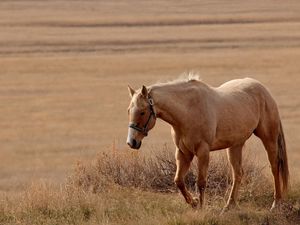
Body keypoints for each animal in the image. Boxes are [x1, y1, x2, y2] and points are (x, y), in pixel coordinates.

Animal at [126, 77, 288, 211]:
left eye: (142, 112)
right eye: (129, 111)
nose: (131, 142)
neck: (188, 111)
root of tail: (264, 90)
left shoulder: (203, 151)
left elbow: (201, 182)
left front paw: (201, 207)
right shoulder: (183, 153)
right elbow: (179, 181)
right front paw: (194, 202)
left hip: (269, 139)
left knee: (275, 168)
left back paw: (276, 203)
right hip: (235, 145)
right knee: (238, 173)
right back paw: (229, 205)